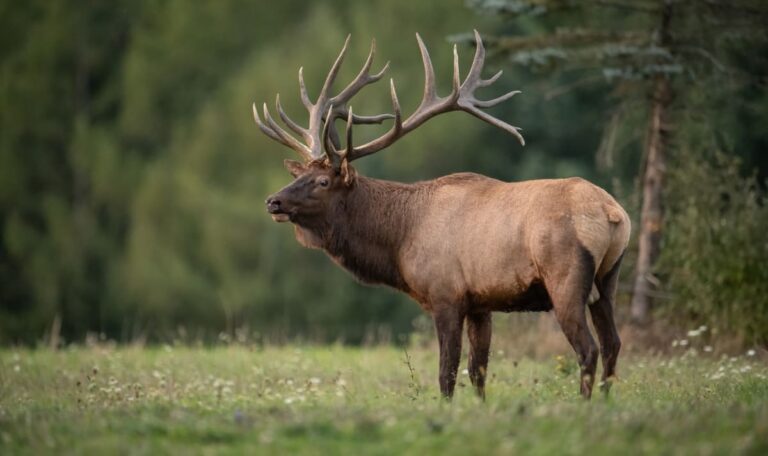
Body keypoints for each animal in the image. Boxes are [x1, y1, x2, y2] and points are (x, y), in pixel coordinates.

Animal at [252, 30, 631, 400]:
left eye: (323, 181)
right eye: (298, 175)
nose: (273, 201)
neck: (400, 239)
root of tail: (613, 213)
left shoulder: (445, 293)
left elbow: (447, 373)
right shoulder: (481, 303)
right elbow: (478, 371)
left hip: (565, 276)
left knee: (588, 349)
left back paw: (584, 405)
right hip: (608, 278)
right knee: (613, 343)